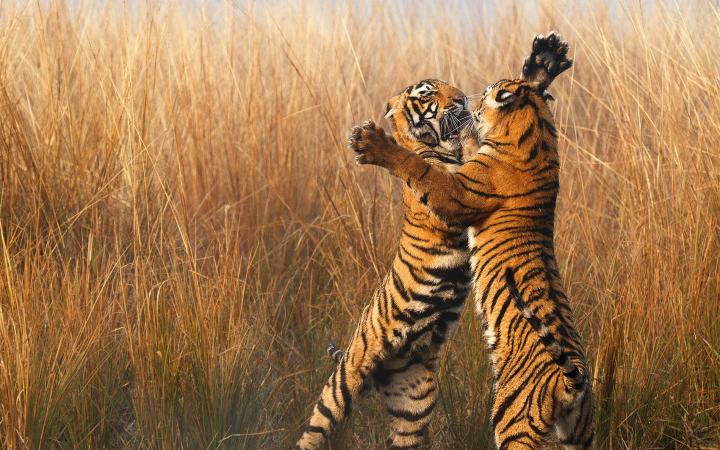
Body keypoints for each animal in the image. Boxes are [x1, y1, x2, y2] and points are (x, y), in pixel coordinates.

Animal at [292, 78, 472, 450]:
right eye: (429, 94)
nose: (463, 99)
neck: (448, 153)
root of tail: (384, 371)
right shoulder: (451, 192)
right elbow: (417, 166)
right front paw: (370, 142)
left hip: (415, 405)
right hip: (340, 386)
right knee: (313, 433)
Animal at [346, 32, 592, 450]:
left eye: (485, 93)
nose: (468, 100)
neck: (540, 136)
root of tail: (570, 379)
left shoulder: (459, 191)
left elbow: (420, 168)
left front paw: (372, 143)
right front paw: (543, 63)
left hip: (514, 419)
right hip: (581, 432)